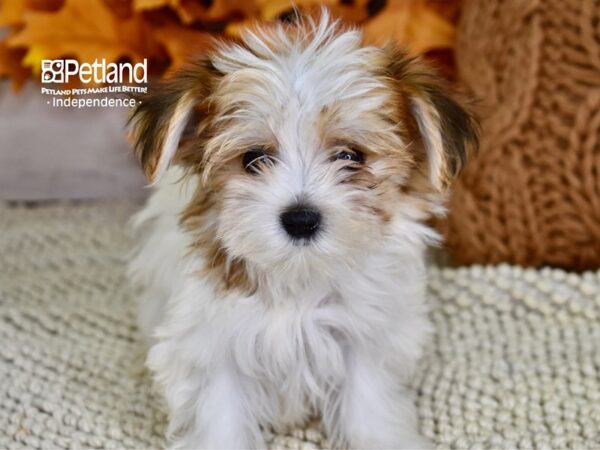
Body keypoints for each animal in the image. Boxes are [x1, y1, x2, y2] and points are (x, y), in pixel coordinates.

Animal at [127, 11, 478, 450]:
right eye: (253, 159)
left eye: (350, 157)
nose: (300, 219)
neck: (299, 275)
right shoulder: (211, 345)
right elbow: (219, 413)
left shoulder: (363, 333)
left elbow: (368, 401)